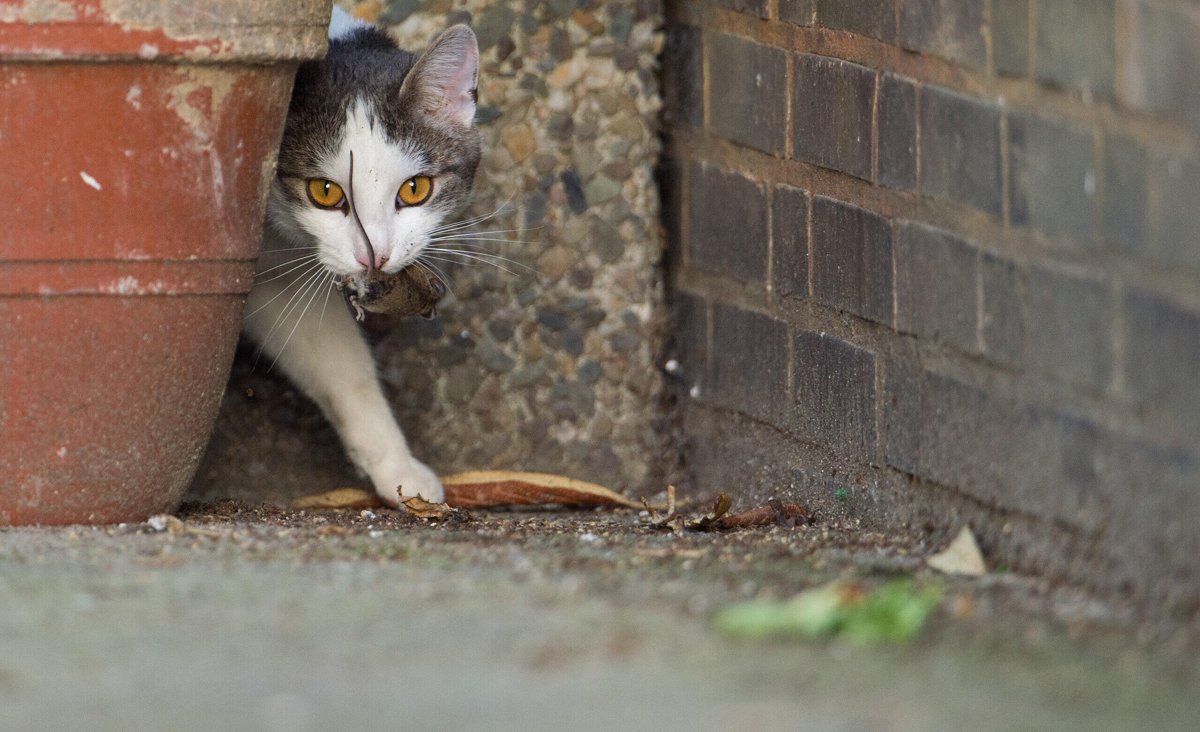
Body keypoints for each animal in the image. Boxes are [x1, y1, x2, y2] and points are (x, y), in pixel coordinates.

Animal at [241, 8, 480, 504]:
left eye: (415, 188)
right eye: (325, 192)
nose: (376, 256)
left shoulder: (281, 280)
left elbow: (342, 368)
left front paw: (396, 468)